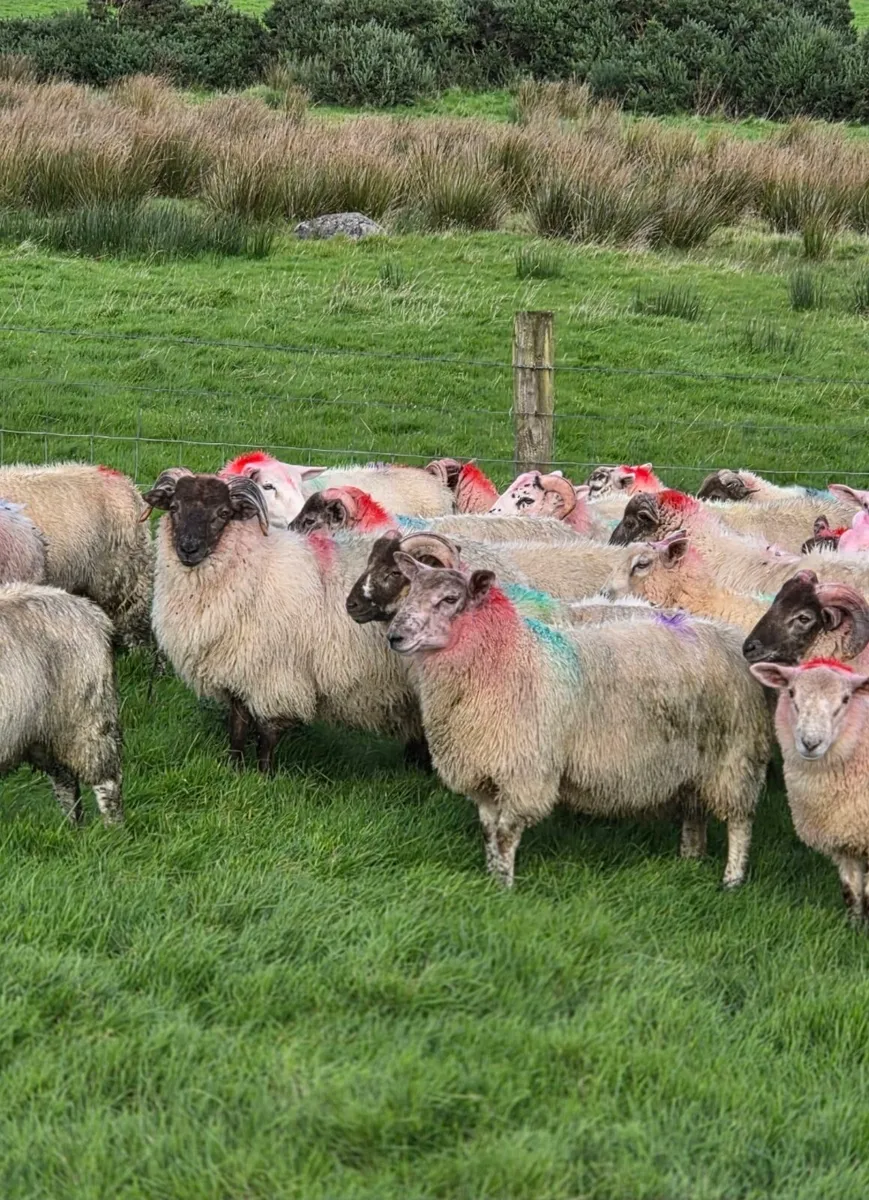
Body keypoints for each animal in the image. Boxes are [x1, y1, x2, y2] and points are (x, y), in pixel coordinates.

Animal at [0, 583, 122, 825]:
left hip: (85, 717)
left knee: (107, 780)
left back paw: (114, 829)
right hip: (44, 731)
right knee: (64, 779)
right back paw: (72, 826)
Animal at [385, 556, 771, 888]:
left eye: (450, 599)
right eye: (410, 591)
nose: (394, 637)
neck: (508, 658)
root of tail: (728, 635)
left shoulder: (526, 772)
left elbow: (506, 833)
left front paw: (505, 888)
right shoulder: (485, 771)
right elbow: (489, 832)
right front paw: (493, 879)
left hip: (735, 754)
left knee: (740, 820)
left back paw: (732, 880)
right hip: (695, 758)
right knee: (695, 813)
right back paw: (690, 859)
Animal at [748, 658, 869, 924]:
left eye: (846, 699)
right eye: (791, 692)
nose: (810, 743)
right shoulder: (842, 836)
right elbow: (852, 892)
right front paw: (855, 926)